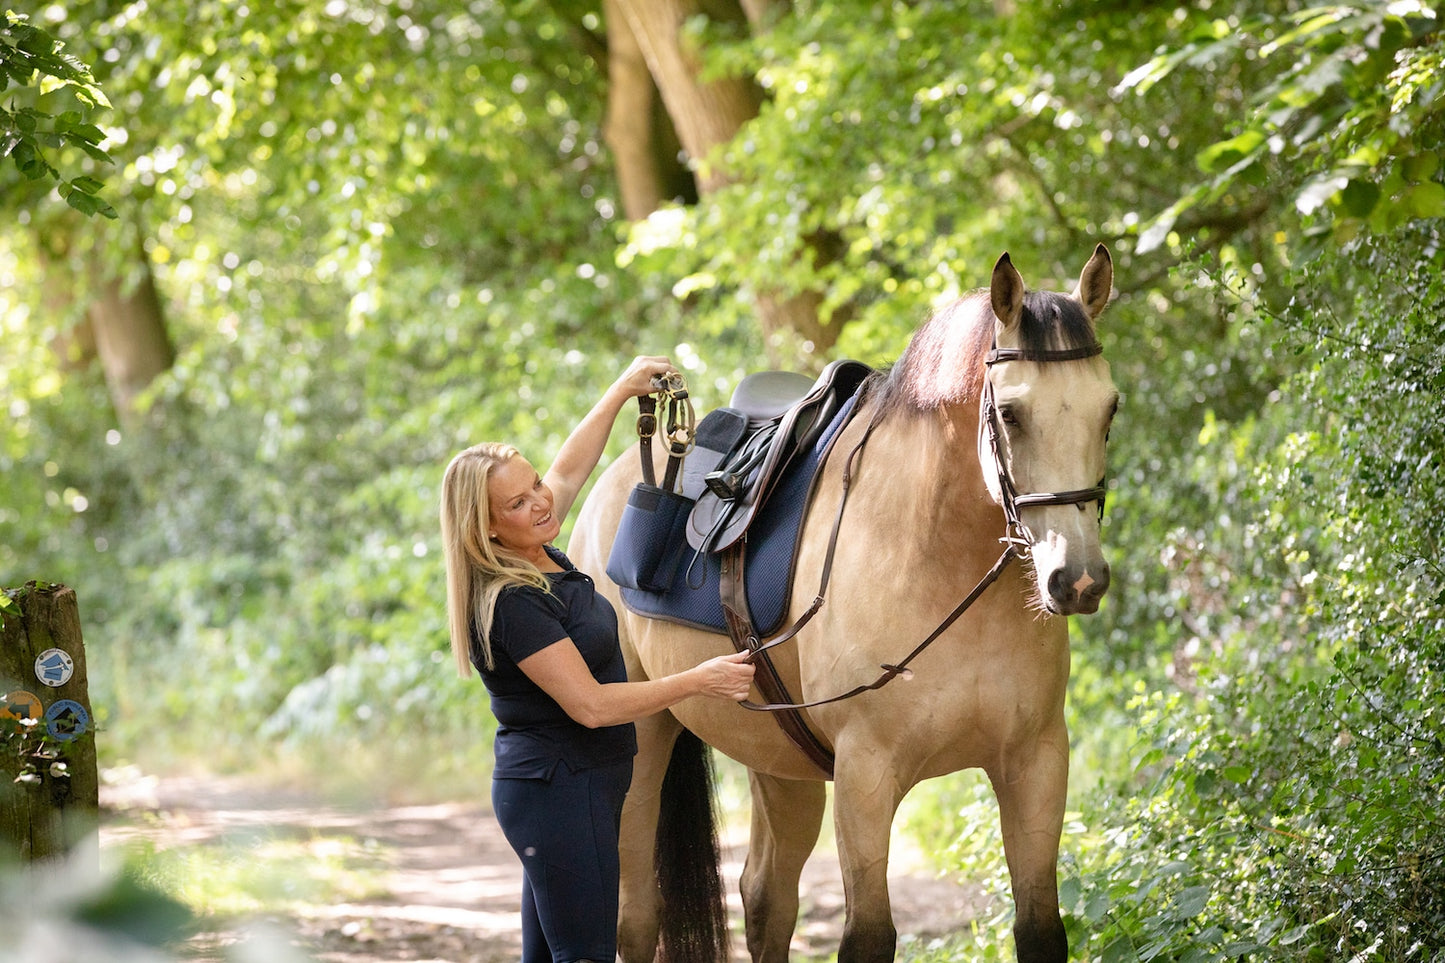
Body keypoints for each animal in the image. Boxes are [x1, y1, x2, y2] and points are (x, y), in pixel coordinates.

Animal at [566, 241, 1115, 960]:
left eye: (1109, 409)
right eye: (1009, 414)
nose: (1075, 579)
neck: (931, 552)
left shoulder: (1036, 762)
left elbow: (1040, 926)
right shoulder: (865, 773)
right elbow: (869, 934)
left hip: (778, 759)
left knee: (765, 898)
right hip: (641, 737)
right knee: (636, 917)